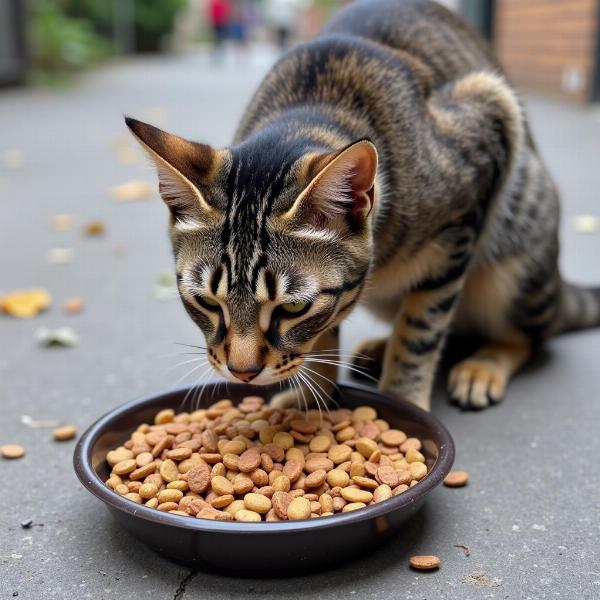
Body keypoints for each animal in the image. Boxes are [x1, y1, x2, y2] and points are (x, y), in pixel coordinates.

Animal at [124, 0, 596, 412]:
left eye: (292, 308)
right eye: (206, 301)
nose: (243, 373)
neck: (309, 108)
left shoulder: (485, 126)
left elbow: (421, 330)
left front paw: (404, 402)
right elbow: (327, 334)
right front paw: (311, 397)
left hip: (515, 258)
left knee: (523, 335)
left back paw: (483, 364)